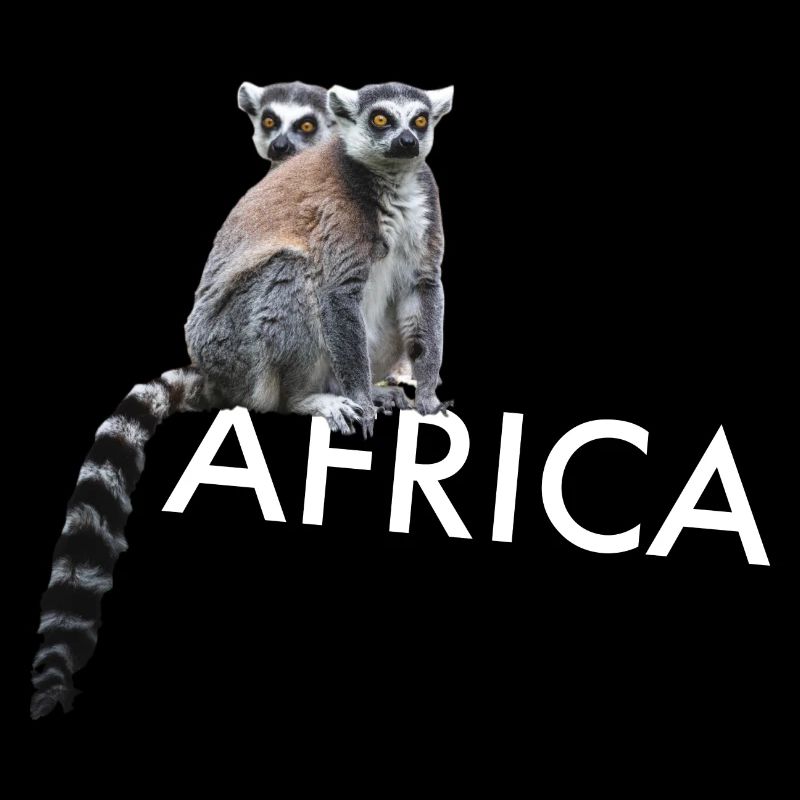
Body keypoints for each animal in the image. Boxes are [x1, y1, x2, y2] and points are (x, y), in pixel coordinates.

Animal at [30, 82, 453, 719]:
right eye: (382, 120)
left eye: (420, 121)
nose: (406, 142)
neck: (393, 184)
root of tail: (214, 369)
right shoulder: (341, 222)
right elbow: (336, 289)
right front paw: (358, 398)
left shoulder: (425, 220)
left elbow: (425, 287)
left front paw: (423, 395)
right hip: (239, 347)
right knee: (292, 275)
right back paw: (313, 400)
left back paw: (382, 389)